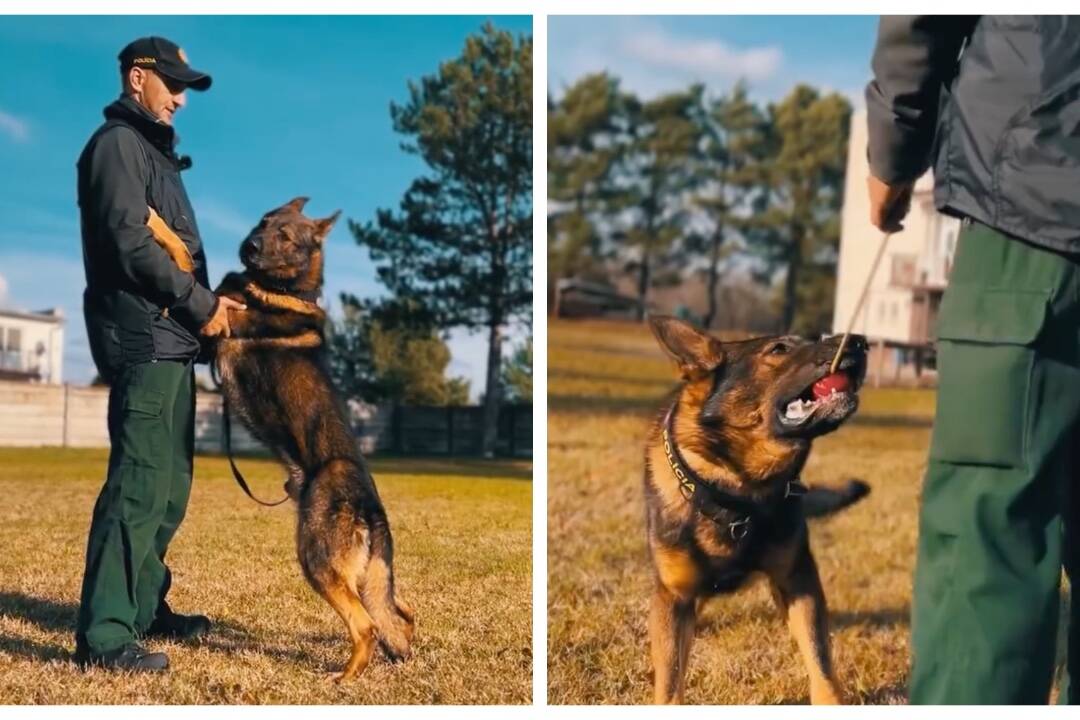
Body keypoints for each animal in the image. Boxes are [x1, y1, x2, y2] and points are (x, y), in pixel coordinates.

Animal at [213, 197, 412, 682]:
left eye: (285, 236)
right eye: (264, 222)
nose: (250, 245)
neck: (287, 290)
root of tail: (371, 508)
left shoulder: (220, 322)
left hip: (316, 559)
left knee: (367, 625)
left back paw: (344, 678)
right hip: (366, 578)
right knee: (400, 617)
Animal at [648, 317, 868, 703]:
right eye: (779, 349)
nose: (859, 341)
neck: (738, 493)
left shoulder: (798, 580)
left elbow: (820, 662)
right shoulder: (675, 597)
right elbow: (670, 684)